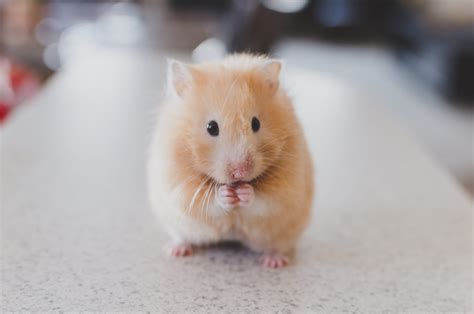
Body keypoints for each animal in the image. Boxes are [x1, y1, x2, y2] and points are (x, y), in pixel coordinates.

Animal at [146, 54, 312, 268]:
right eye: (211, 127)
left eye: (256, 123)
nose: (240, 172)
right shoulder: (179, 185)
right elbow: (205, 201)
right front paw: (226, 194)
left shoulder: (286, 189)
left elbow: (264, 199)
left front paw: (244, 192)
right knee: (182, 237)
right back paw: (177, 250)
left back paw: (274, 262)